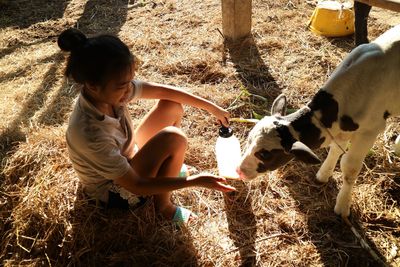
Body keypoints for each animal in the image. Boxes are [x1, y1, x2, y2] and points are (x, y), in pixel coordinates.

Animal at [238, 24, 400, 218]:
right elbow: (335, 150)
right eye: (248, 139)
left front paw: (343, 206)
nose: (239, 171)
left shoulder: (370, 131)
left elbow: (349, 167)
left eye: (265, 154)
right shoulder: (340, 131)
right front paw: (323, 174)